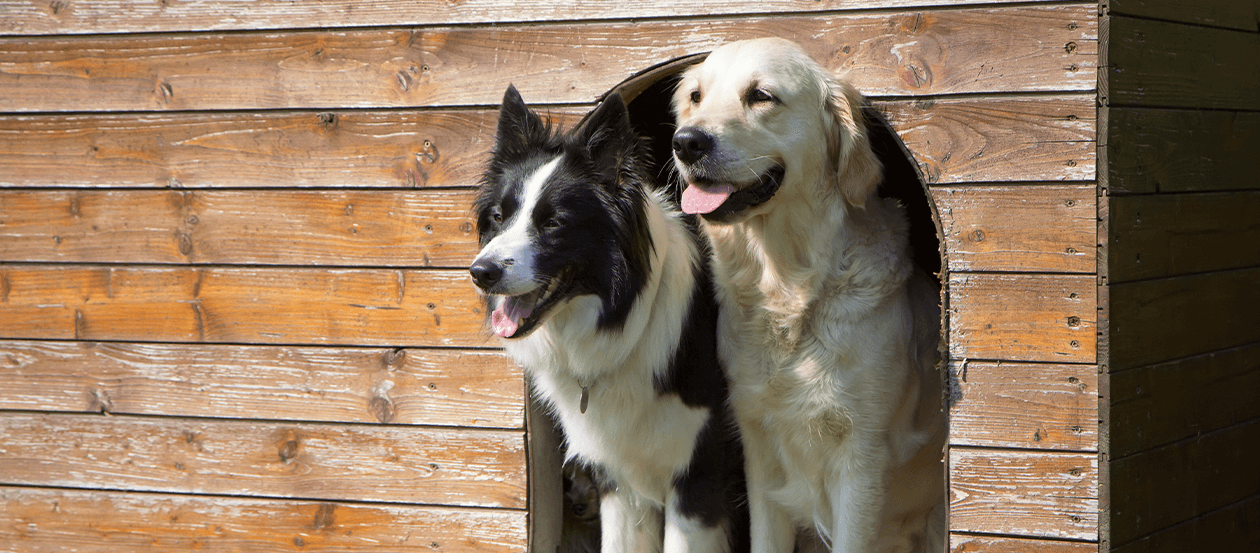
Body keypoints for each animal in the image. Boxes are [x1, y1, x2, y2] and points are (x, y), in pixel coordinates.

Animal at [473, 84, 745, 553]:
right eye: (498, 217)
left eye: (554, 223)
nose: (480, 273)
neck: (627, 321)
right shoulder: (620, 484)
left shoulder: (698, 479)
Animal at [670, 37, 947, 553]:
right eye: (696, 96)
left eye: (761, 96)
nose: (687, 142)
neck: (788, 288)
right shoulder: (760, 452)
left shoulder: (862, 460)